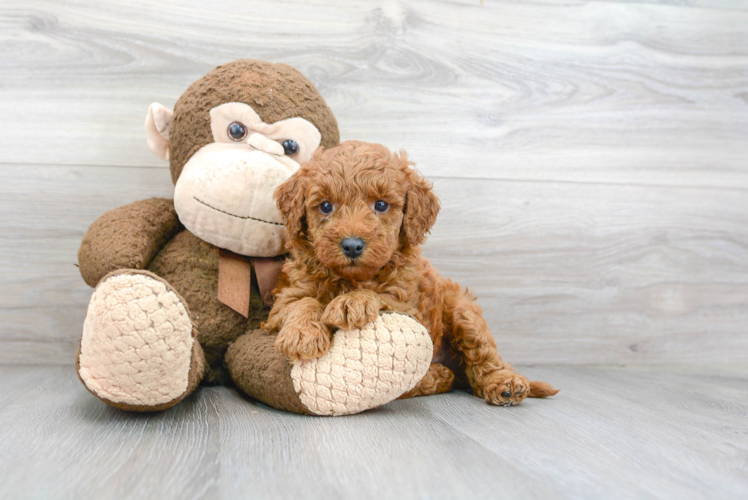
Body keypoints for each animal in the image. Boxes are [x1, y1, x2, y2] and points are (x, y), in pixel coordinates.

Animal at [266, 141, 560, 406]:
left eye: (381, 205)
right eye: (326, 206)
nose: (352, 245)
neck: (351, 278)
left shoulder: (408, 303)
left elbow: (380, 296)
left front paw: (352, 302)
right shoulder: (284, 299)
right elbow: (302, 302)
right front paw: (302, 334)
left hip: (463, 311)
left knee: (484, 357)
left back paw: (503, 383)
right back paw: (441, 375)